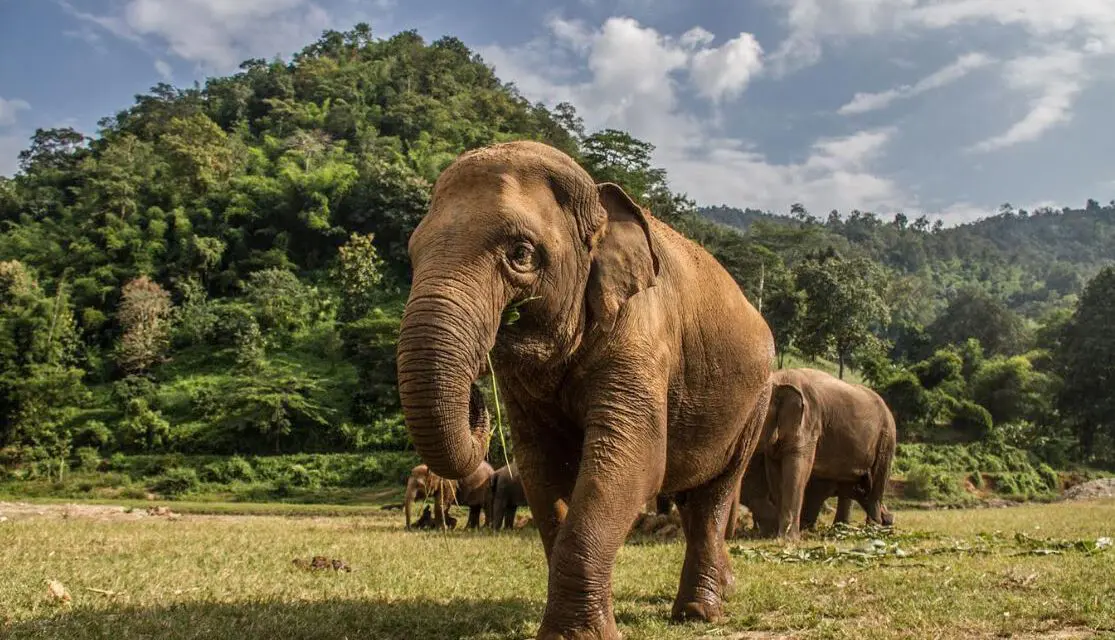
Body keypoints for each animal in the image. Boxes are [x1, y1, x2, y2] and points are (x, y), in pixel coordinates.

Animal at [394, 138, 776, 637]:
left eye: (521, 253)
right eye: (413, 253)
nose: (477, 399)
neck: (597, 198)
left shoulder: (643, 335)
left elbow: (633, 460)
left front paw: (579, 635)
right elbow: (542, 466)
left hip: (757, 401)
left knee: (714, 493)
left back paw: (698, 612)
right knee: (692, 497)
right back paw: (720, 590)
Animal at [744, 365, 900, 541]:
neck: (780, 377)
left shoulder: (809, 423)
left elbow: (797, 469)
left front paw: (788, 539)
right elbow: (775, 474)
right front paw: (776, 534)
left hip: (886, 439)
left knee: (876, 484)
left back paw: (872, 530)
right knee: (849, 486)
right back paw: (844, 529)